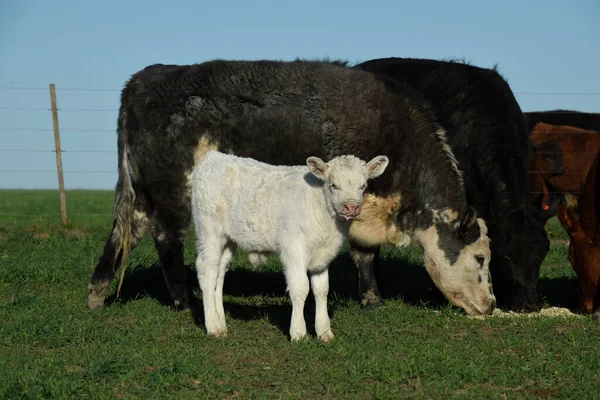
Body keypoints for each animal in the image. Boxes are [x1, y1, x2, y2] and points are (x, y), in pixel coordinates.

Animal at [85, 59, 496, 316]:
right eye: (480, 258)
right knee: (166, 237)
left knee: (126, 229)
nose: (492, 304)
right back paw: (184, 301)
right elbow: (363, 255)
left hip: (144, 191)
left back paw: (97, 293)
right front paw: (373, 299)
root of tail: (144, 80)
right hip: (174, 189)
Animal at [192, 149, 390, 340]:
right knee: (207, 271)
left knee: (219, 272)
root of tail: (214, 156)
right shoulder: (293, 248)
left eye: (363, 186)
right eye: (333, 185)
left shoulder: (323, 254)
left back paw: (221, 323)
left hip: (228, 240)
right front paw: (298, 333)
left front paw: (324, 332)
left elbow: (321, 290)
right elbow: (300, 288)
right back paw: (213, 327)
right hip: (209, 232)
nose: (351, 208)